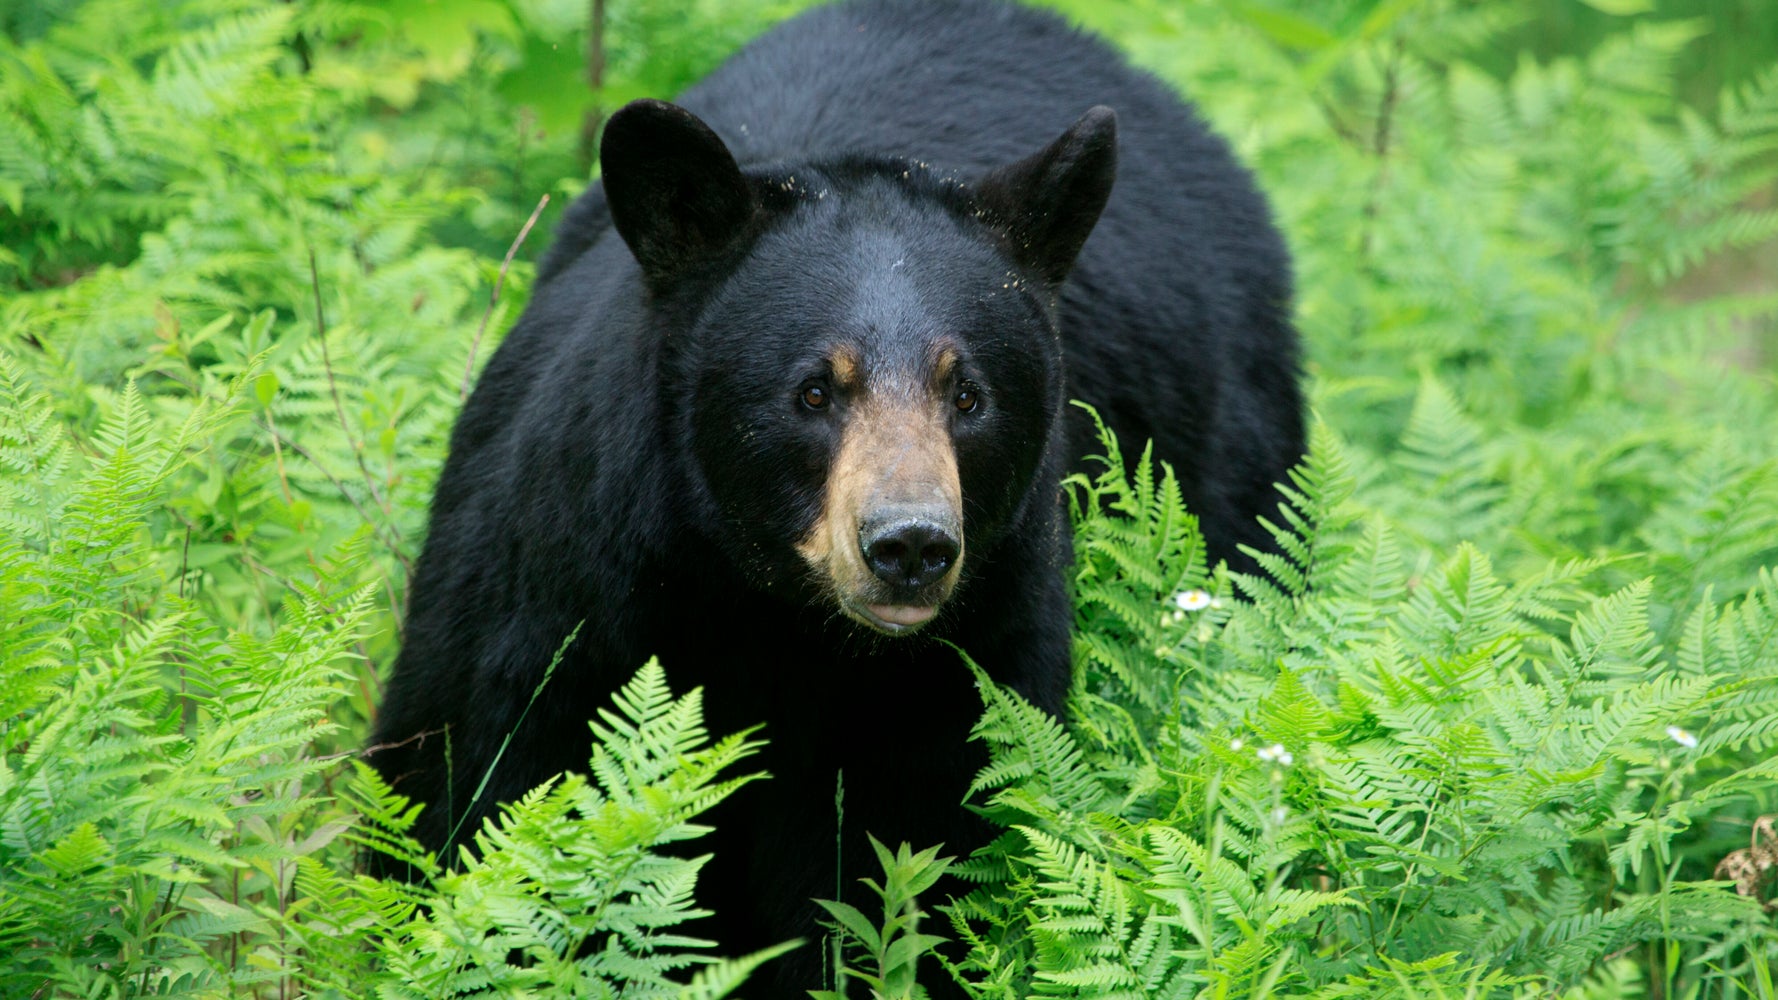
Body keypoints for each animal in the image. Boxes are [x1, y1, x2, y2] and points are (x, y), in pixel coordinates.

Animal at [368, 0, 1302, 994]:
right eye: (814, 391)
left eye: (967, 395)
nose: (909, 544)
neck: (774, 621)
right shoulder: (558, 593)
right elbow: (472, 786)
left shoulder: (973, 662)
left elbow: (913, 868)